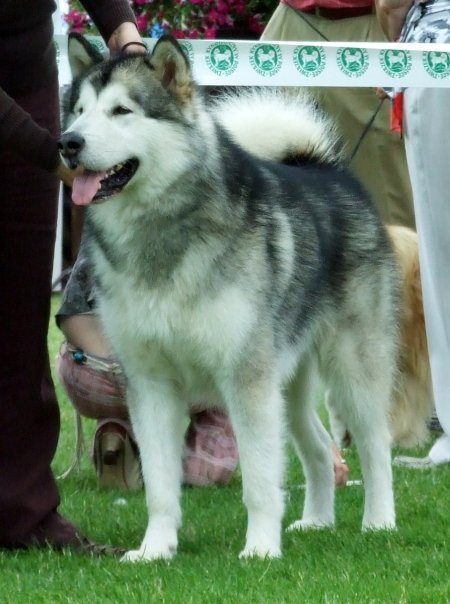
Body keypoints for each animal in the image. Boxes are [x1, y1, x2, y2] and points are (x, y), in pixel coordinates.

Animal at [60, 34, 400, 560]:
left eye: (121, 111)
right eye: (78, 111)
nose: (68, 142)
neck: (162, 233)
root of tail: (329, 172)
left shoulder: (245, 380)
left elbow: (260, 482)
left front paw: (260, 549)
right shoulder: (149, 382)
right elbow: (160, 485)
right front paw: (155, 550)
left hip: (351, 368)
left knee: (374, 445)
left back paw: (379, 522)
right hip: (288, 388)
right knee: (319, 446)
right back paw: (316, 521)